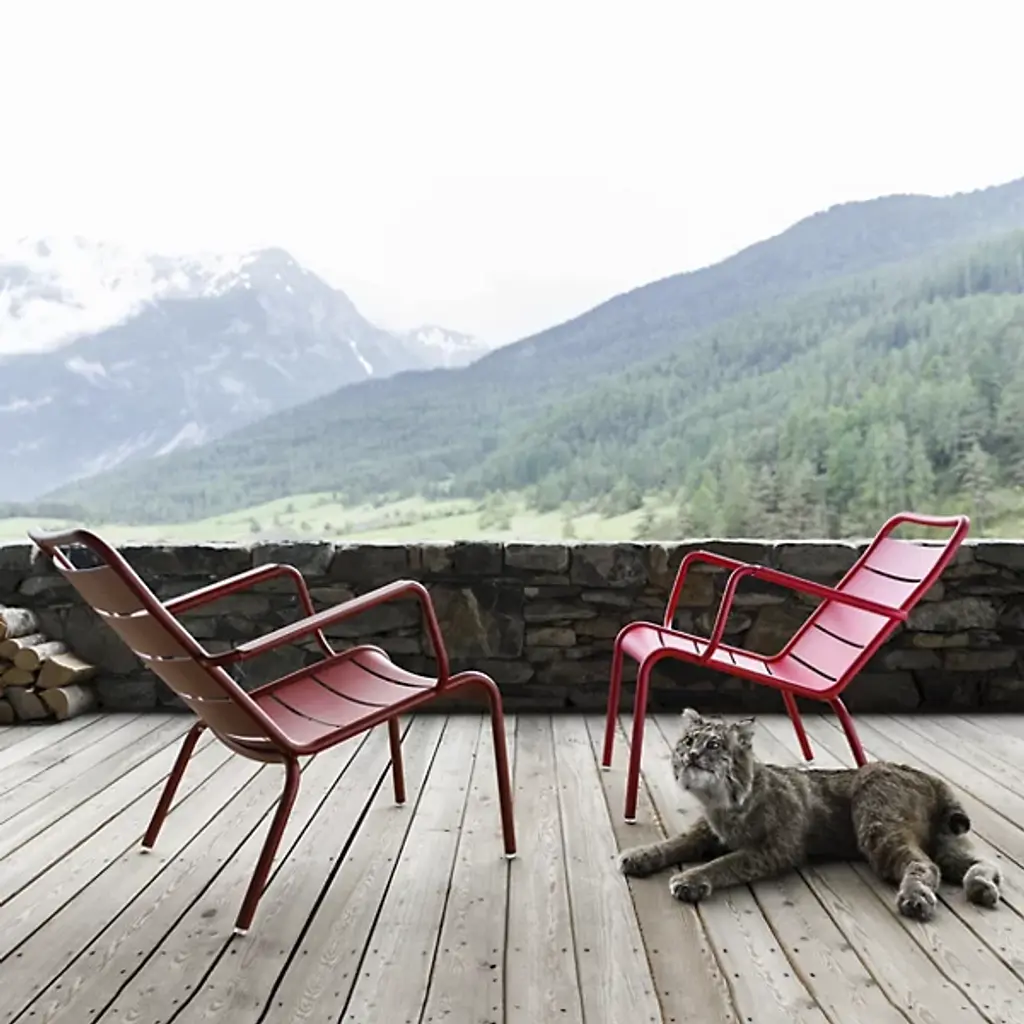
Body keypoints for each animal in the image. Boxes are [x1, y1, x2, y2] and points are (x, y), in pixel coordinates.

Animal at [618, 707, 1002, 921]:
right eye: (688, 741)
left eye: (713, 745)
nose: (691, 756)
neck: (721, 799)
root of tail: (925, 774)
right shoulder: (705, 831)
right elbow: (674, 842)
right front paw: (640, 855)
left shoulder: (776, 849)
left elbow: (725, 862)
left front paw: (691, 878)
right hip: (939, 838)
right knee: (980, 862)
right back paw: (981, 886)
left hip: (874, 824)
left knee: (925, 865)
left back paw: (915, 897)